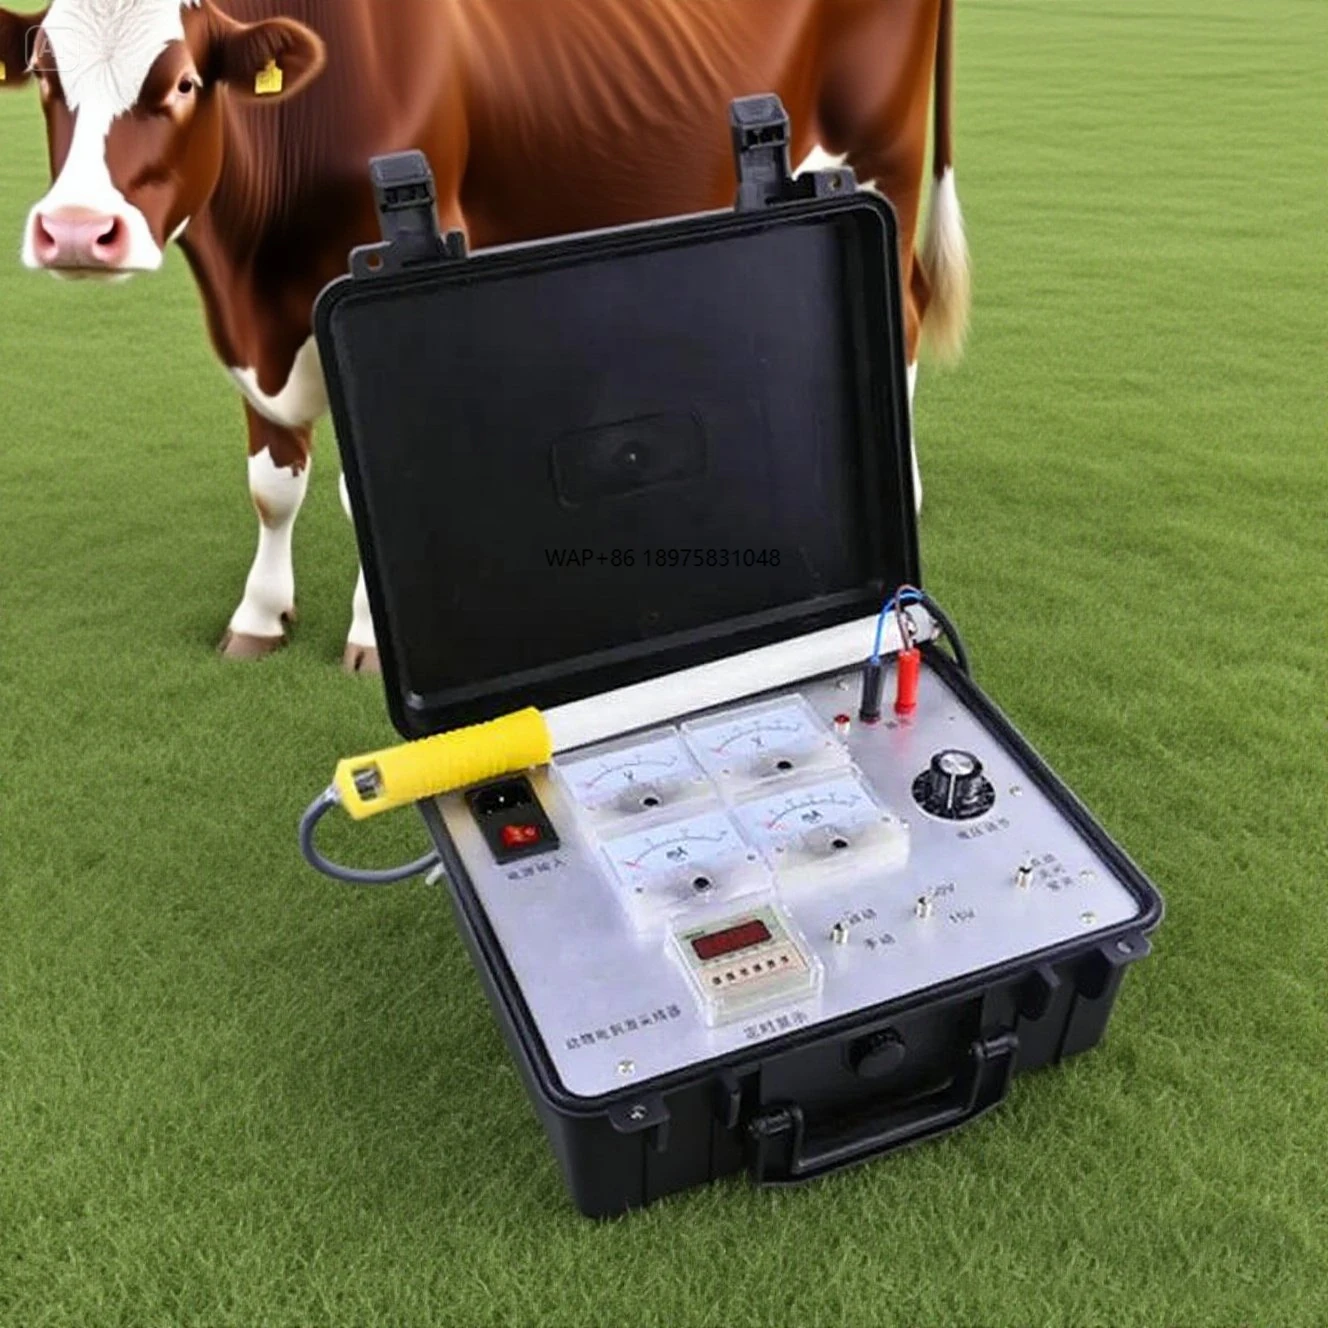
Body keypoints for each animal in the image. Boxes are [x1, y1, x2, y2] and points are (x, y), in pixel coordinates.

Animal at [0, 0, 969, 673]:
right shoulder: (250, 324)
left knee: (907, 307)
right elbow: (272, 484)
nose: (77, 231)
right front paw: (260, 617)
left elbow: (355, 492)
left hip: (883, 146)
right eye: (45, 74)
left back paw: (913, 487)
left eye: (183, 83)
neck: (253, 263)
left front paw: (367, 640)